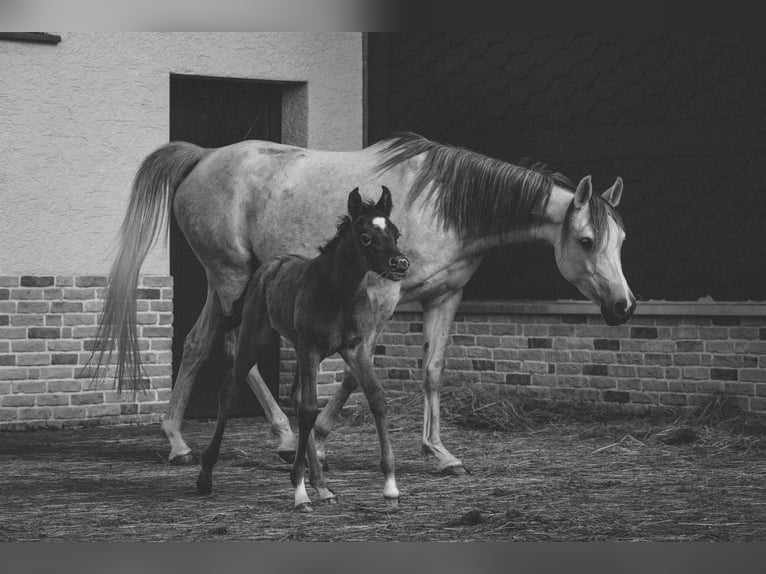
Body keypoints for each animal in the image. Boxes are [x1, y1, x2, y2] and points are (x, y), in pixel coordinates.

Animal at [200, 186, 414, 512]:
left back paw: (323, 487)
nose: (400, 265)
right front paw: (299, 492)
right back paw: (205, 477)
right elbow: (309, 410)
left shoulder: (355, 347)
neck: (338, 293)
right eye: (365, 236)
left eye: (396, 232)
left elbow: (376, 399)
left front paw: (390, 488)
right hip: (256, 338)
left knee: (297, 396)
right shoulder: (310, 347)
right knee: (230, 391)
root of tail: (269, 266)